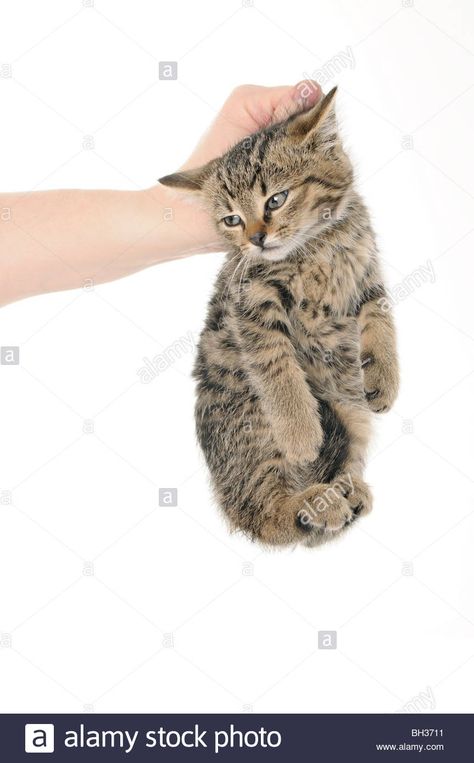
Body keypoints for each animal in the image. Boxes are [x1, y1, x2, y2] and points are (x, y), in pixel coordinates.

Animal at [160, 86, 400, 548]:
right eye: (231, 219)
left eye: (276, 199)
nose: (256, 238)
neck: (316, 246)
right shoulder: (249, 304)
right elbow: (277, 368)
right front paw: (301, 432)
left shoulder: (367, 275)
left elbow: (381, 320)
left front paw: (384, 374)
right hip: (250, 424)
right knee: (265, 514)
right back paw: (311, 504)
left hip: (352, 414)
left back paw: (344, 490)